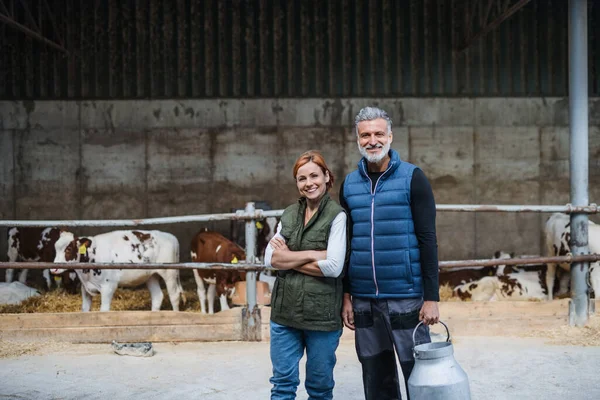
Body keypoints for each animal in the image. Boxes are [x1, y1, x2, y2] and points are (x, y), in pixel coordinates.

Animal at [50, 228, 184, 312]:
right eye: (55, 248)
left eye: (68, 249)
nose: (53, 269)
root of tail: (170, 236)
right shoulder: (86, 288)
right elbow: (85, 309)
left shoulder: (108, 286)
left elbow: (104, 310)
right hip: (151, 276)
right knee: (157, 296)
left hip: (170, 273)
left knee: (174, 295)